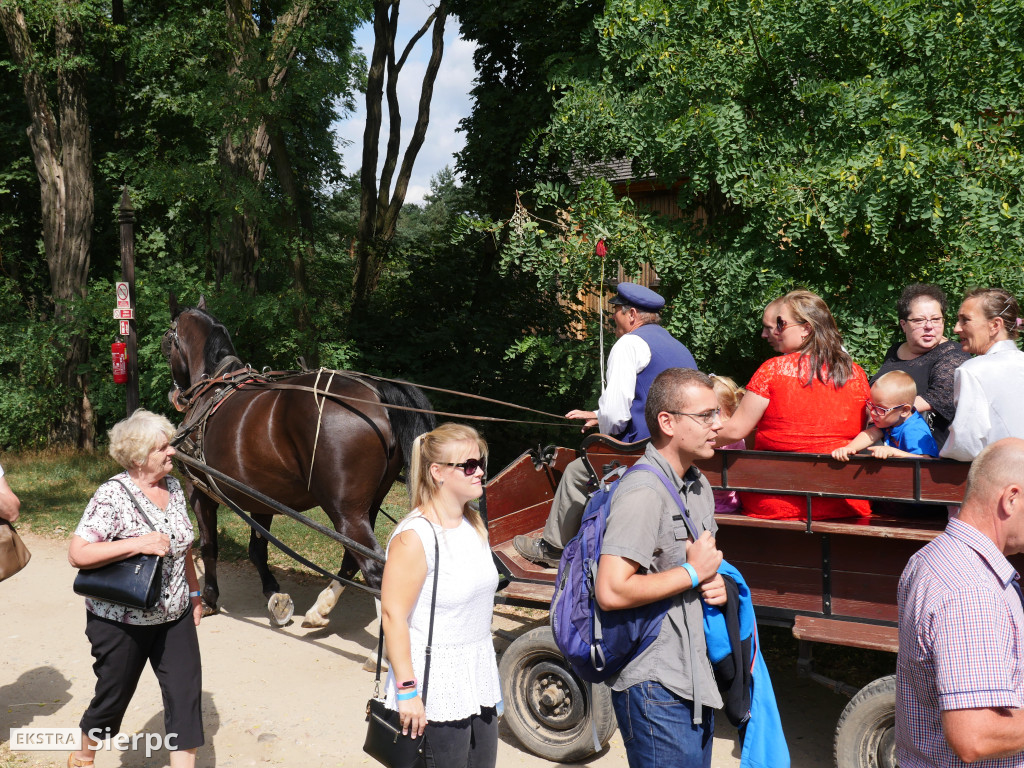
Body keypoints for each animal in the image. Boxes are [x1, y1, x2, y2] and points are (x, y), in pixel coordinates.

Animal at [161, 296, 434, 626]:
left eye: (167, 341)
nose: (175, 395)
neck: (212, 387)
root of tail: (377, 393)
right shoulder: (261, 496)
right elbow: (257, 548)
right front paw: (273, 593)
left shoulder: (199, 491)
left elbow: (209, 545)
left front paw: (210, 597)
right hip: (367, 506)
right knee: (352, 559)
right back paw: (321, 607)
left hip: (345, 512)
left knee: (375, 570)